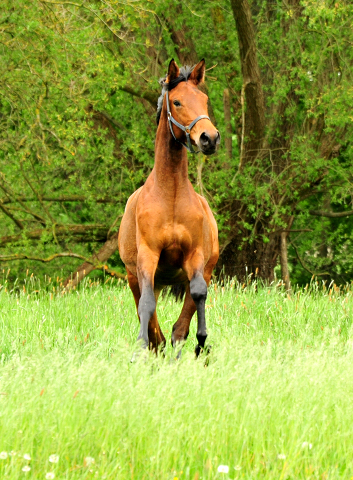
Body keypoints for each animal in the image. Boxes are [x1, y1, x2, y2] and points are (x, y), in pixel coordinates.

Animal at [117, 58, 219, 356]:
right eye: (176, 102)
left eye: (204, 100)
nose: (210, 138)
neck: (170, 194)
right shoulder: (147, 258)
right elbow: (147, 306)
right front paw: (141, 347)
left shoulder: (195, 257)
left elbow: (197, 296)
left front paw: (202, 341)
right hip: (135, 276)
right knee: (146, 309)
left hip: (200, 270)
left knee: (182, 319)